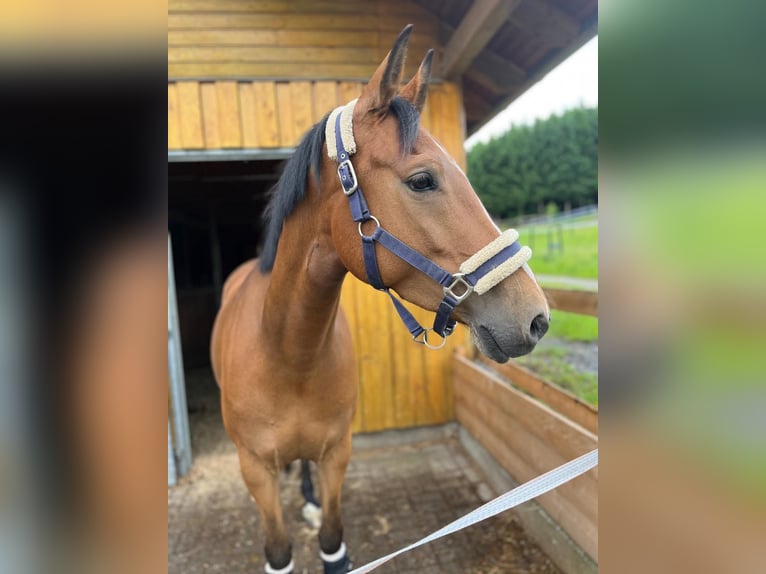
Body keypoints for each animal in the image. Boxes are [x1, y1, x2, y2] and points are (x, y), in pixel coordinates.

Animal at [210, 25, 550, 574]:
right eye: (422, 180)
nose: (536, 318)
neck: (287, 354)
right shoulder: (255, 469)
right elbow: (278, 551)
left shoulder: (337, 455)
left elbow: (333, 544)